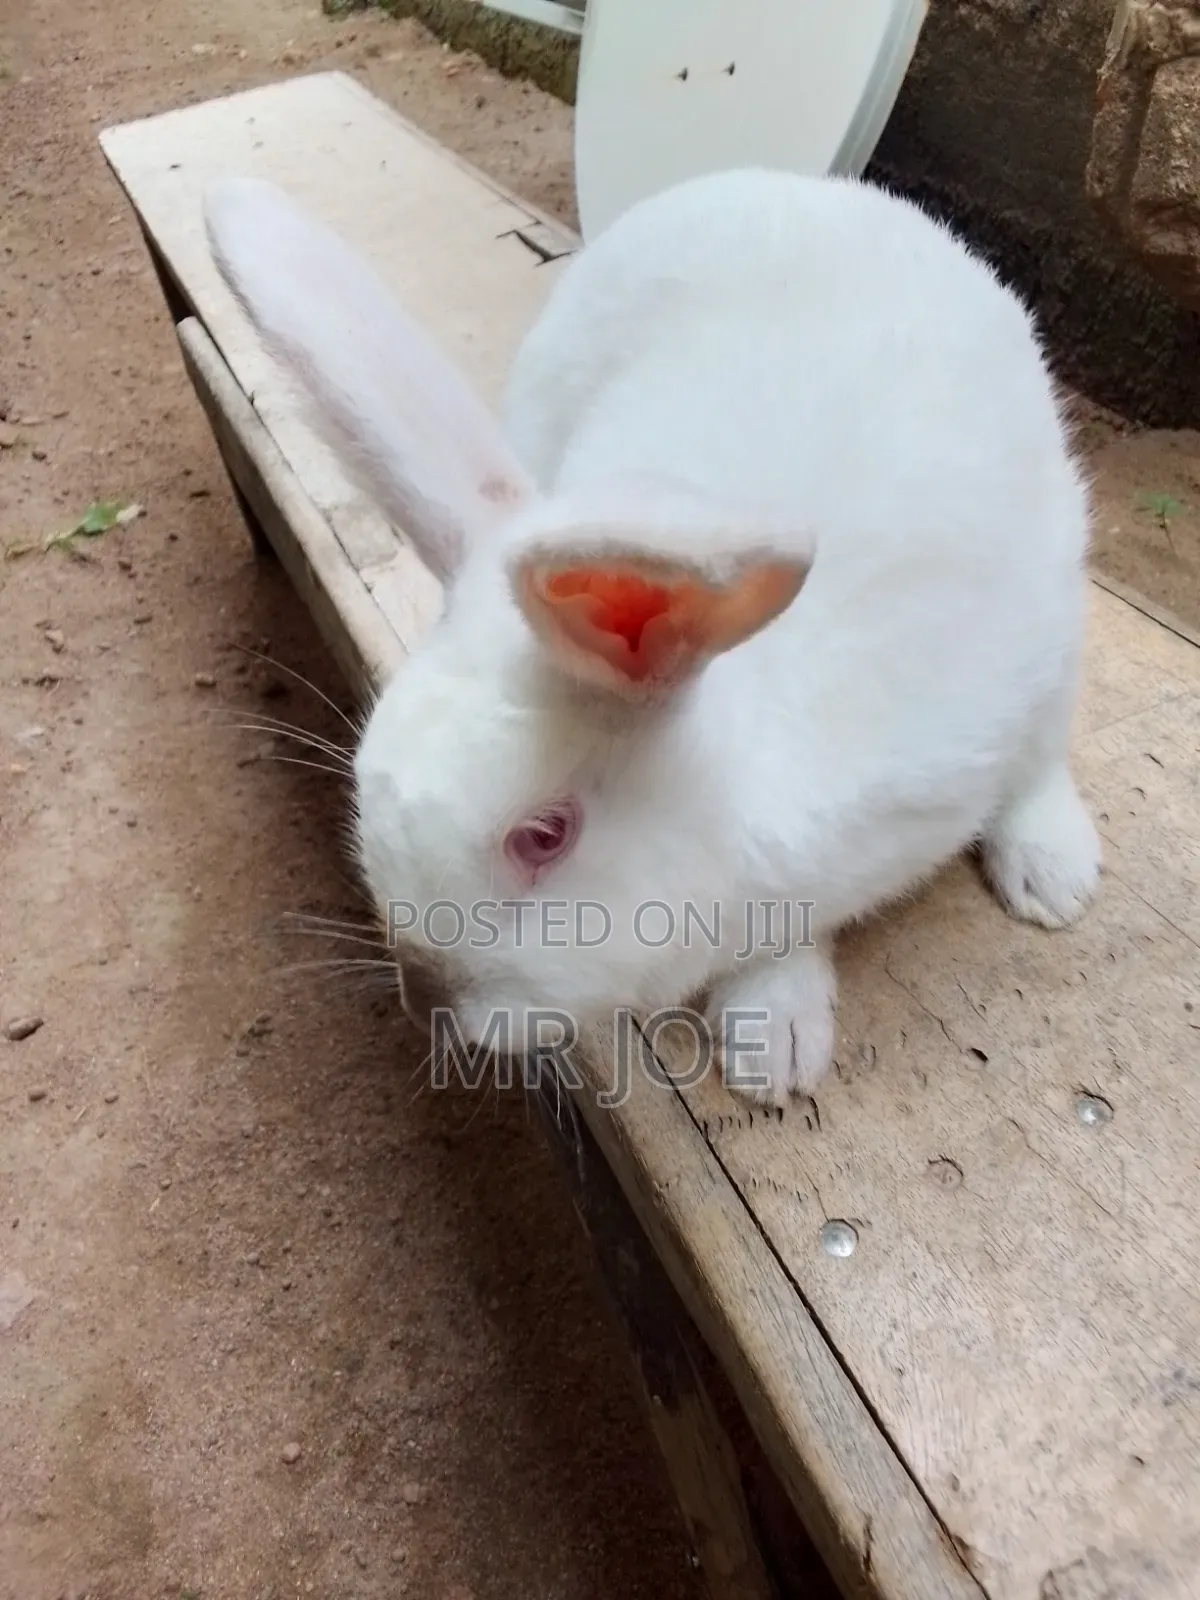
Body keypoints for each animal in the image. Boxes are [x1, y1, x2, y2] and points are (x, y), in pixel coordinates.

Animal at [203, 165, 1101, 1110]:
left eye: (545, 835)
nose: (426, 1001)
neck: (743, 788)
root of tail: (771, 180)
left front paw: (770, 1050)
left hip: (1056, 602)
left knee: (1043, 749)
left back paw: (1053, 877)